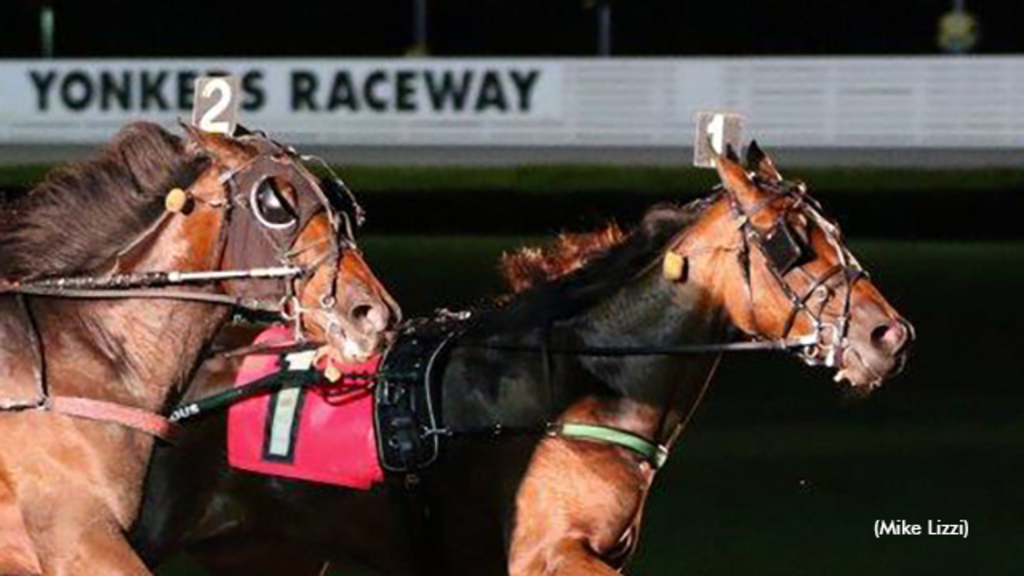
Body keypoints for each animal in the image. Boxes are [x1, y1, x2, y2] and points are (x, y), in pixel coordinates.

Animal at [130, 143, 913, 573]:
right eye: (790, 240)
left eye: (833, 228)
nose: (889, 336)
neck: (574, 386)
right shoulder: (549, 552)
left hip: (270, 550)